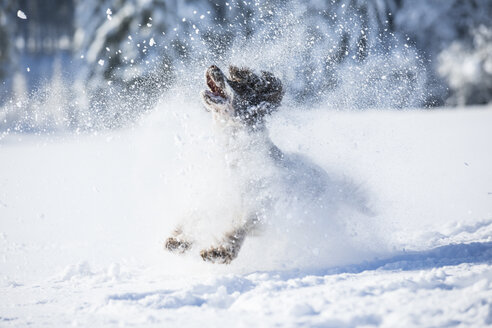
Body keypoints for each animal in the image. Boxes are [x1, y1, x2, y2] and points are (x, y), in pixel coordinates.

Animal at [164, 64, 284, 264]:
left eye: (240, 86)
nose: (213, 66)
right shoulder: (215, 193)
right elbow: (197, 214)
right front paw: (179, 239)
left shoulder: (258, 206)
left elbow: (238, 226)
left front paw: (218, 251)